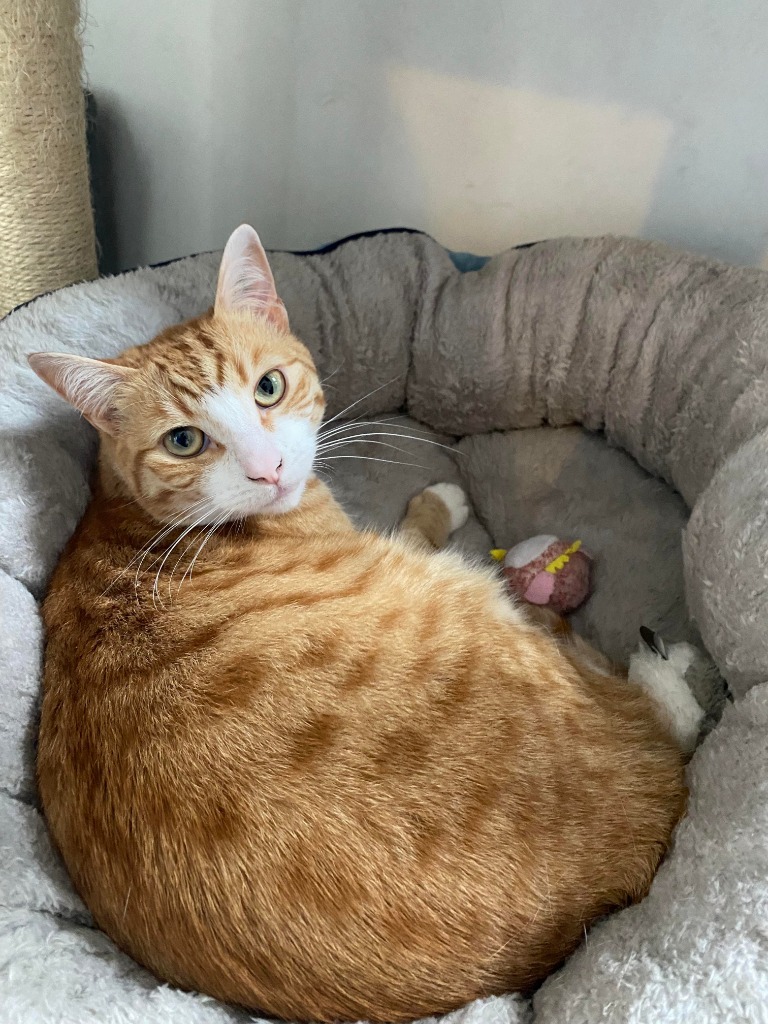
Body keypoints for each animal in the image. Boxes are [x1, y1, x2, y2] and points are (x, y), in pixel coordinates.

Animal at [28, 224, 706, 1023]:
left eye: (268, 387)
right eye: (184, 441)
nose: (269, 469)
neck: (130, 517)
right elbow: (420, 526)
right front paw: (445, 502)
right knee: (659, 710)